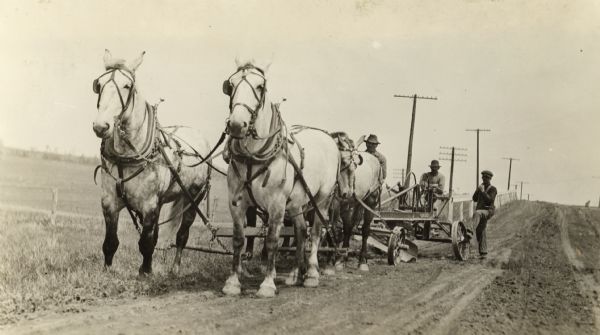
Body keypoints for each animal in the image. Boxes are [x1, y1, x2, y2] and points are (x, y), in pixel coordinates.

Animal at [90, 50, 210, 276]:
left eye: (127, 86)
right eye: (98, 85)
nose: (101, 126)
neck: (128, 155)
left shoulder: (149, 205)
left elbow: (146, 242)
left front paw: (145, 271)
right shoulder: (109, 202)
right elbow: (110, 242)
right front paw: (107, 270)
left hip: (193, 199)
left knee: (182, 235)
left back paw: (175, 268)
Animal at [221, 61, 358, 298]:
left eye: (260, 87)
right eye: (231, 85)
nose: (237, 124)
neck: (253, 156)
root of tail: (328, 138)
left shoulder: (276, 204)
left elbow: (272, 241)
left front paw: (267, 284)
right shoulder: (235, 202)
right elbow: (238, 239)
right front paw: (232, 283)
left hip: (322, 200)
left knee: (316, 233)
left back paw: (311, 274)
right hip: (296, 203)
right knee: (301, 231)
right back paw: (295, 274)